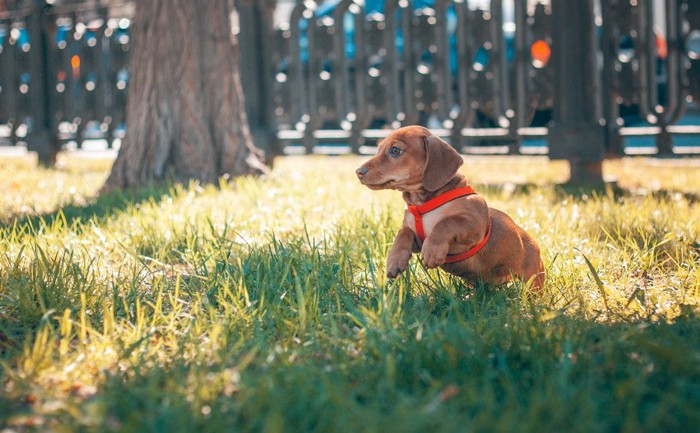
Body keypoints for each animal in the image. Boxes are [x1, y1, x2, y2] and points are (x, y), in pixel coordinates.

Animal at [358, 124, 544, 290]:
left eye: (395, 150)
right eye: (379, 149)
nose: (358, 171)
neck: (422, 203)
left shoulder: (473, 225)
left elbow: (446, 223)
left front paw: (432, 251)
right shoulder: (416, 239)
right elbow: (403, 232)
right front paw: (394, 260)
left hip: (533, 277)